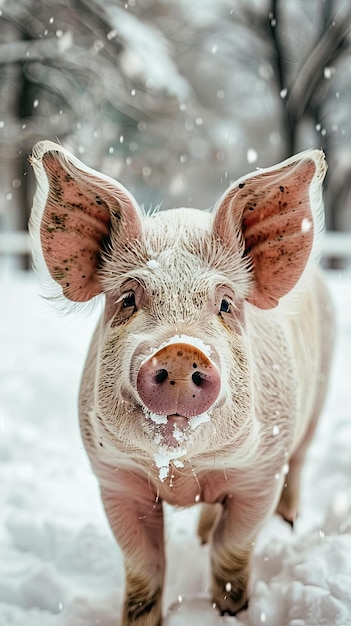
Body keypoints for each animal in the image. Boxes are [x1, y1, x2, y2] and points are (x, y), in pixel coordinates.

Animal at [30, 141, 336, 624]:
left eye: (226, 303)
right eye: (129, 298)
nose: (179, 349)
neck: (182, 474)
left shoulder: (261, 474)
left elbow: (233, 552)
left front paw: (232, 611)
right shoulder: (116, 480)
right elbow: (143, 568)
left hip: (315, 405)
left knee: (300, 464)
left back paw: (288, 524)